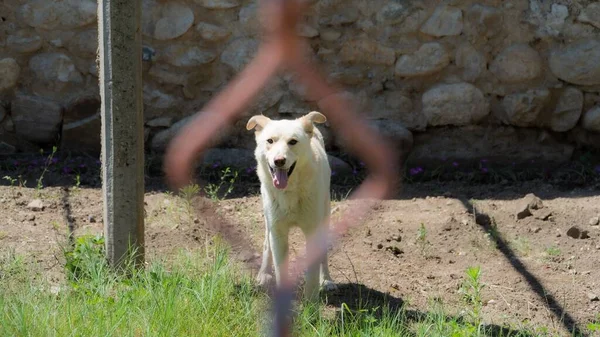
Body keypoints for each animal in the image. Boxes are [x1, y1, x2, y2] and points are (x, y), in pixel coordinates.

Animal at [245, 110, 338, 300]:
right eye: (270, 141)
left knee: (323, 253)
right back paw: (264, 275)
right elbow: (280, 270)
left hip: (325, 216)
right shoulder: (278, 231)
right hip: (268, 220)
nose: (279, 161)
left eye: (293, 141)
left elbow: (312, 275)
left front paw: (312, 304)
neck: (290, 191)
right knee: (266, 245)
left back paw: (327, 280)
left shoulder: (313, 230)